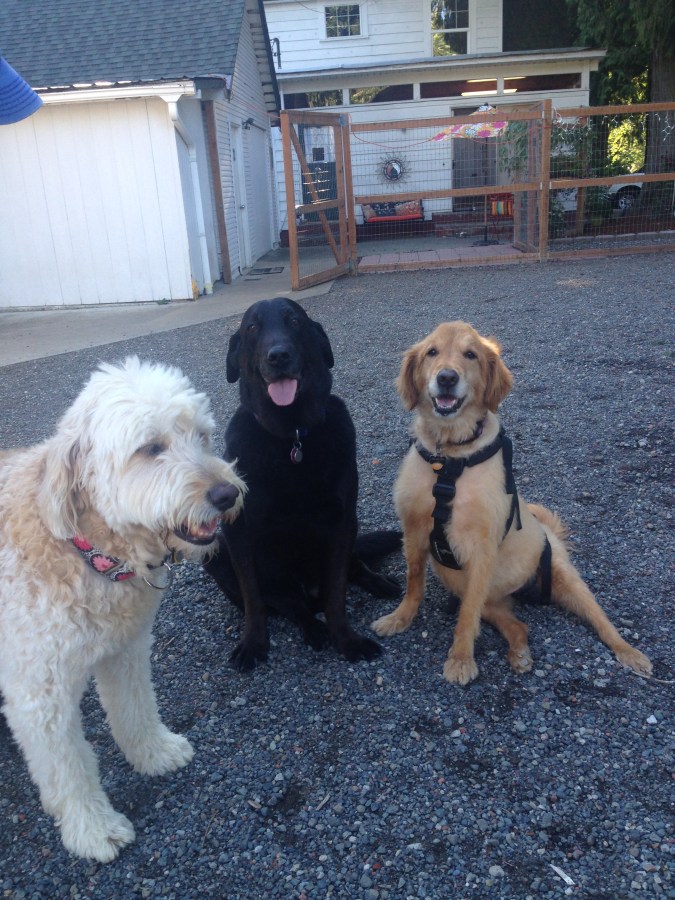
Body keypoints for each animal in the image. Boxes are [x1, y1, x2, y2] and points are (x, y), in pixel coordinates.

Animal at [0, 358, 245, 861]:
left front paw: (154, 753)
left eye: (203, 436)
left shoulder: (125, 649)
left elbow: (134, 708)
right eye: (151, 448)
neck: (86, 550)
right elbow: (68, 768)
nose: (226, 494)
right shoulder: (40, 694)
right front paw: (92, 829)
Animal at [204, 297, 400, 671]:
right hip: (216, 554)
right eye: (252, 327)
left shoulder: (342, 521)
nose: (278, 356)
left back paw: (377, 583)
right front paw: (253, 643)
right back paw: (313, 628)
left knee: (352, 569)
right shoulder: (236, 530)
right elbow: (253, 598)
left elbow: (337, 593)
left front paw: (347, 640)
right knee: (289, 605)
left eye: (294, 321)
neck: (290, 436)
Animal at [372, 321, 652, 685]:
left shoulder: (481, 547)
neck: (449, 457)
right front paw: (400, 618)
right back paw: (519, 654)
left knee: (603, 624)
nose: (446, 377)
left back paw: (629, 653)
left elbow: (466, 618)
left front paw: (461, 660)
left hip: (567, 580)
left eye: (471, 354)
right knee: (519, 626)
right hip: (482, 595)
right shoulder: (414, 528)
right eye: (432, 352)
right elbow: (414, 582)